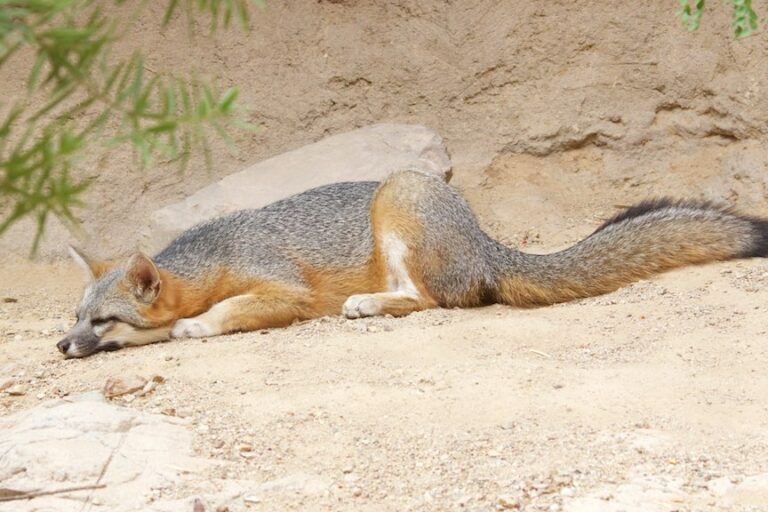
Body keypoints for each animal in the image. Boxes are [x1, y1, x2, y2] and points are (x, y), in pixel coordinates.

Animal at [57, 169, 768, 358]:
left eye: (105, 321)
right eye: (75, 315)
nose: (62, 346)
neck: (216, 254)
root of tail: (484, 239)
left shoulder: (285, 290)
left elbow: (227, 309)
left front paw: (194, 324)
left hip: (397, 196)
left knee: (434, 299)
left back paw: (367, 303)